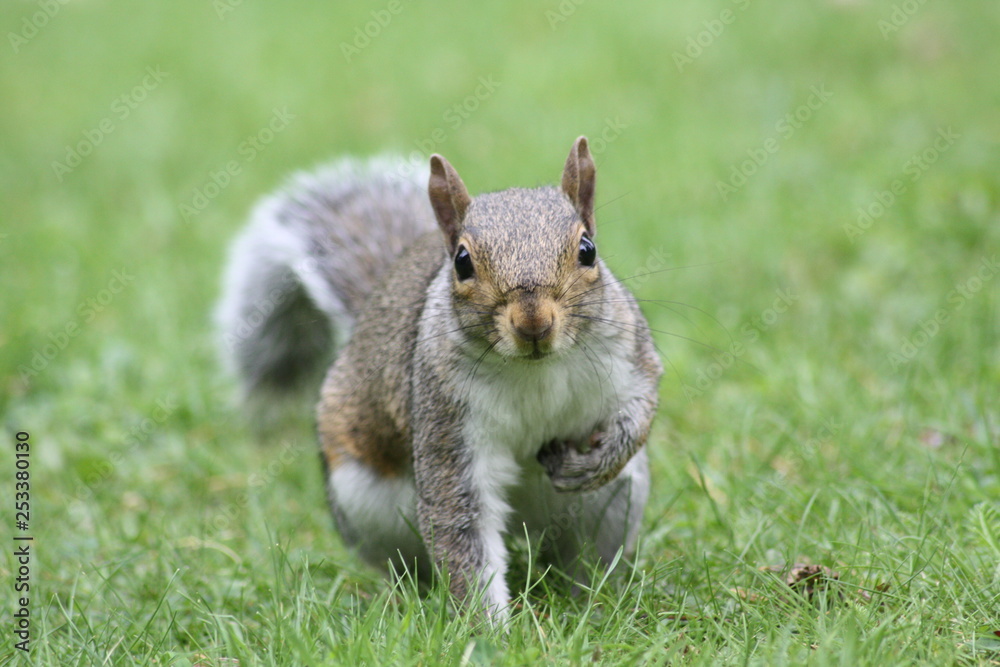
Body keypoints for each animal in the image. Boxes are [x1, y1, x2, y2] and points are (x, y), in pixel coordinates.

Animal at [216, 137, 663, 623]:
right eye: (462, 262)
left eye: (587, 249)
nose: (533, 322)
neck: (534, 367)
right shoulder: (444, 418)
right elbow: (459, 526)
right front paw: (492, 629)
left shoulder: (629, 352)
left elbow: (642, 404)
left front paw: (600, 458)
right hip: (365, 500)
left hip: (614, 503)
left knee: (582, 557)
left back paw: (592, 601)